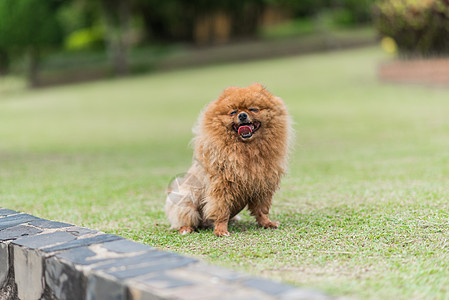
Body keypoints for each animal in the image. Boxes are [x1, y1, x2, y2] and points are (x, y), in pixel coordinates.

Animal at [164, 82, 290, 237]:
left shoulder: (262, 186)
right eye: (233, 112)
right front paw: (221, 230)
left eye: (253, 109)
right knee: (185, 218)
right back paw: (186, 229)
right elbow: (221, 211)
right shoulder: (221, 187)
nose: (242, 115)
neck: (247, 149)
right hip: (186, 198)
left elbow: (261, 210)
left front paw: (267, 223)